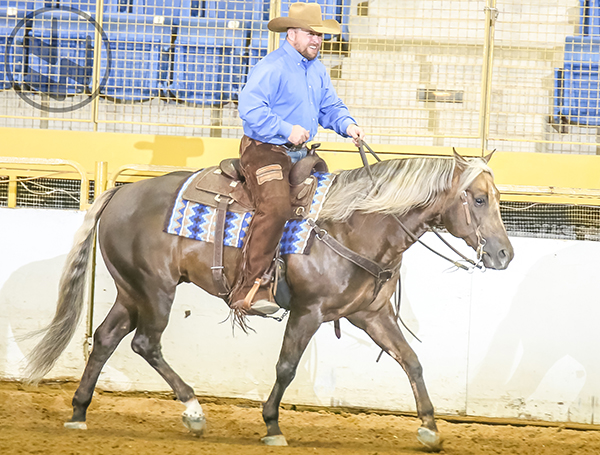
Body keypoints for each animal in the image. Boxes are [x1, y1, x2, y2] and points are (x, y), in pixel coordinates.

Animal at [22, 151, 510, 452]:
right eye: (478, 198)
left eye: (498, 197)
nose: (505, 254)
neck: (355, 226)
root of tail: (120, 192)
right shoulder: (308, 312)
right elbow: (286, 367)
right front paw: (273, 424)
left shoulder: (371, 315)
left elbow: (411, 361)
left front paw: (429, 428)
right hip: (155, 289)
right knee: (145, 343)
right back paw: (193, 411)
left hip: (131, 290)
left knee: (106, 339)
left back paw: (79, 412)